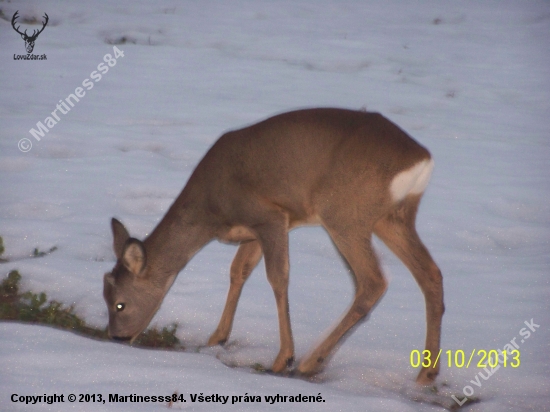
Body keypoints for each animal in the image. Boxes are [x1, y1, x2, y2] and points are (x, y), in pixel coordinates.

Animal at [103, 108, 446, 384]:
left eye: (120, 304)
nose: (116, 337)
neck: (211, 211)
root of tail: (421, 159)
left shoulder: (269, 216)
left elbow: (277, 278)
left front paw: (283, 358)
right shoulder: (253, 232)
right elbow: (237, 271)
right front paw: (217, 337)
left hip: (345, 213)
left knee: (373, 281)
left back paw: (310, 362)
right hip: (392, 218)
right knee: (431, 274)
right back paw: (426, 374)